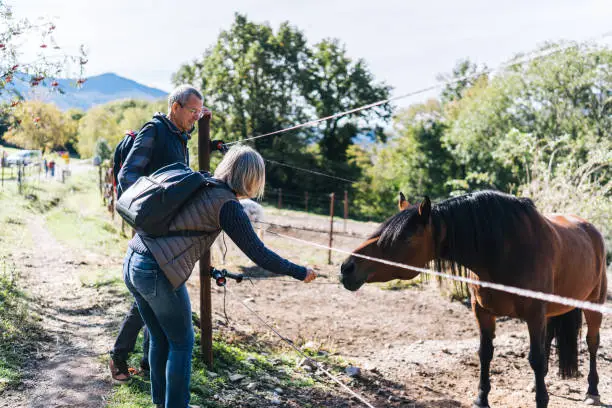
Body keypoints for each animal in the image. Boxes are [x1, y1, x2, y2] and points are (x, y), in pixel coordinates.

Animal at [340, 190, 608, 406]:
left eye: (403, 238)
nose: (347, 268)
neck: (506, 251)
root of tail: (590, 229)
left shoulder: (534, 314)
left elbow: (535, 358)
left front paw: (542, 401)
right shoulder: (482, 312)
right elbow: (485, 353)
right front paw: (481, 399)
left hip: (592, 305)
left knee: (592, 343)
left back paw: (592, 392)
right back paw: (537, 383)